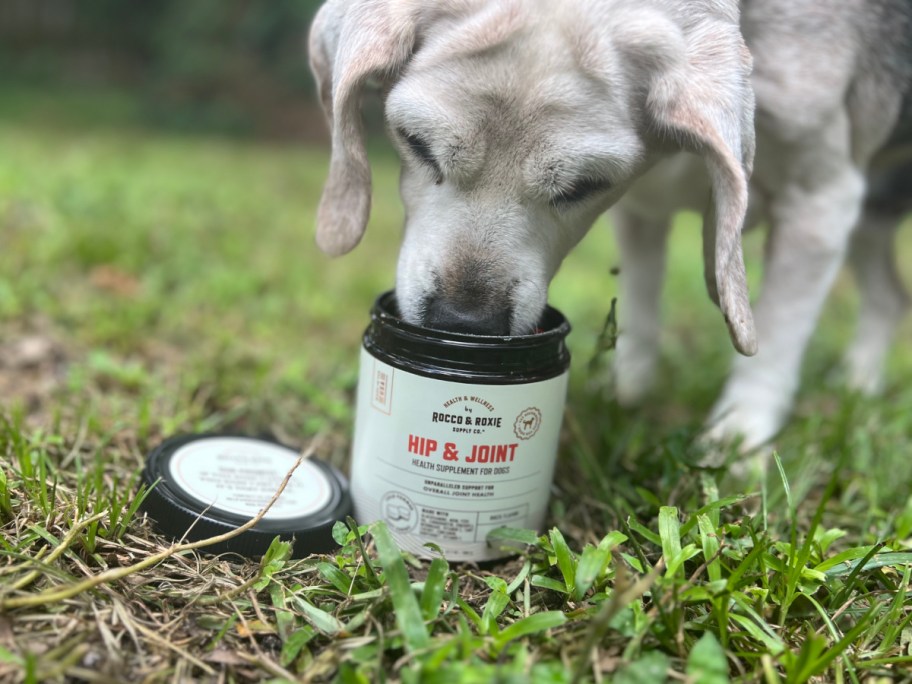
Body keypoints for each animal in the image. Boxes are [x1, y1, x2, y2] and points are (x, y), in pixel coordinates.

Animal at [310, 1, 908, 454]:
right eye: (415, 142)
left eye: (583, 186)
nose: (464, 324)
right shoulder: (640, 214)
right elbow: (641, 313)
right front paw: (630, 395)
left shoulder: (821, 204)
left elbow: (780, 334)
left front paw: (737, 443)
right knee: (888, 295)